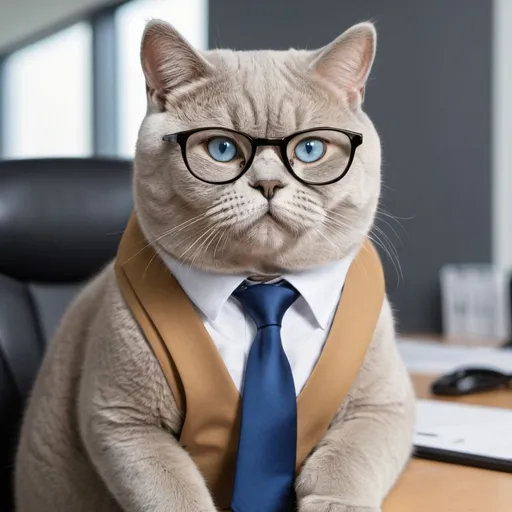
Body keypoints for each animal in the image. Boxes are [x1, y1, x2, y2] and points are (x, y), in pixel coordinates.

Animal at [15, 18, 416, 510]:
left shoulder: (383, 404)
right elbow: (174, 491)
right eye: (222, 149)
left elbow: (346, 462)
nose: (268, 184)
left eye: (310, 150)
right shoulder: (123, 420)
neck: (262, 282)